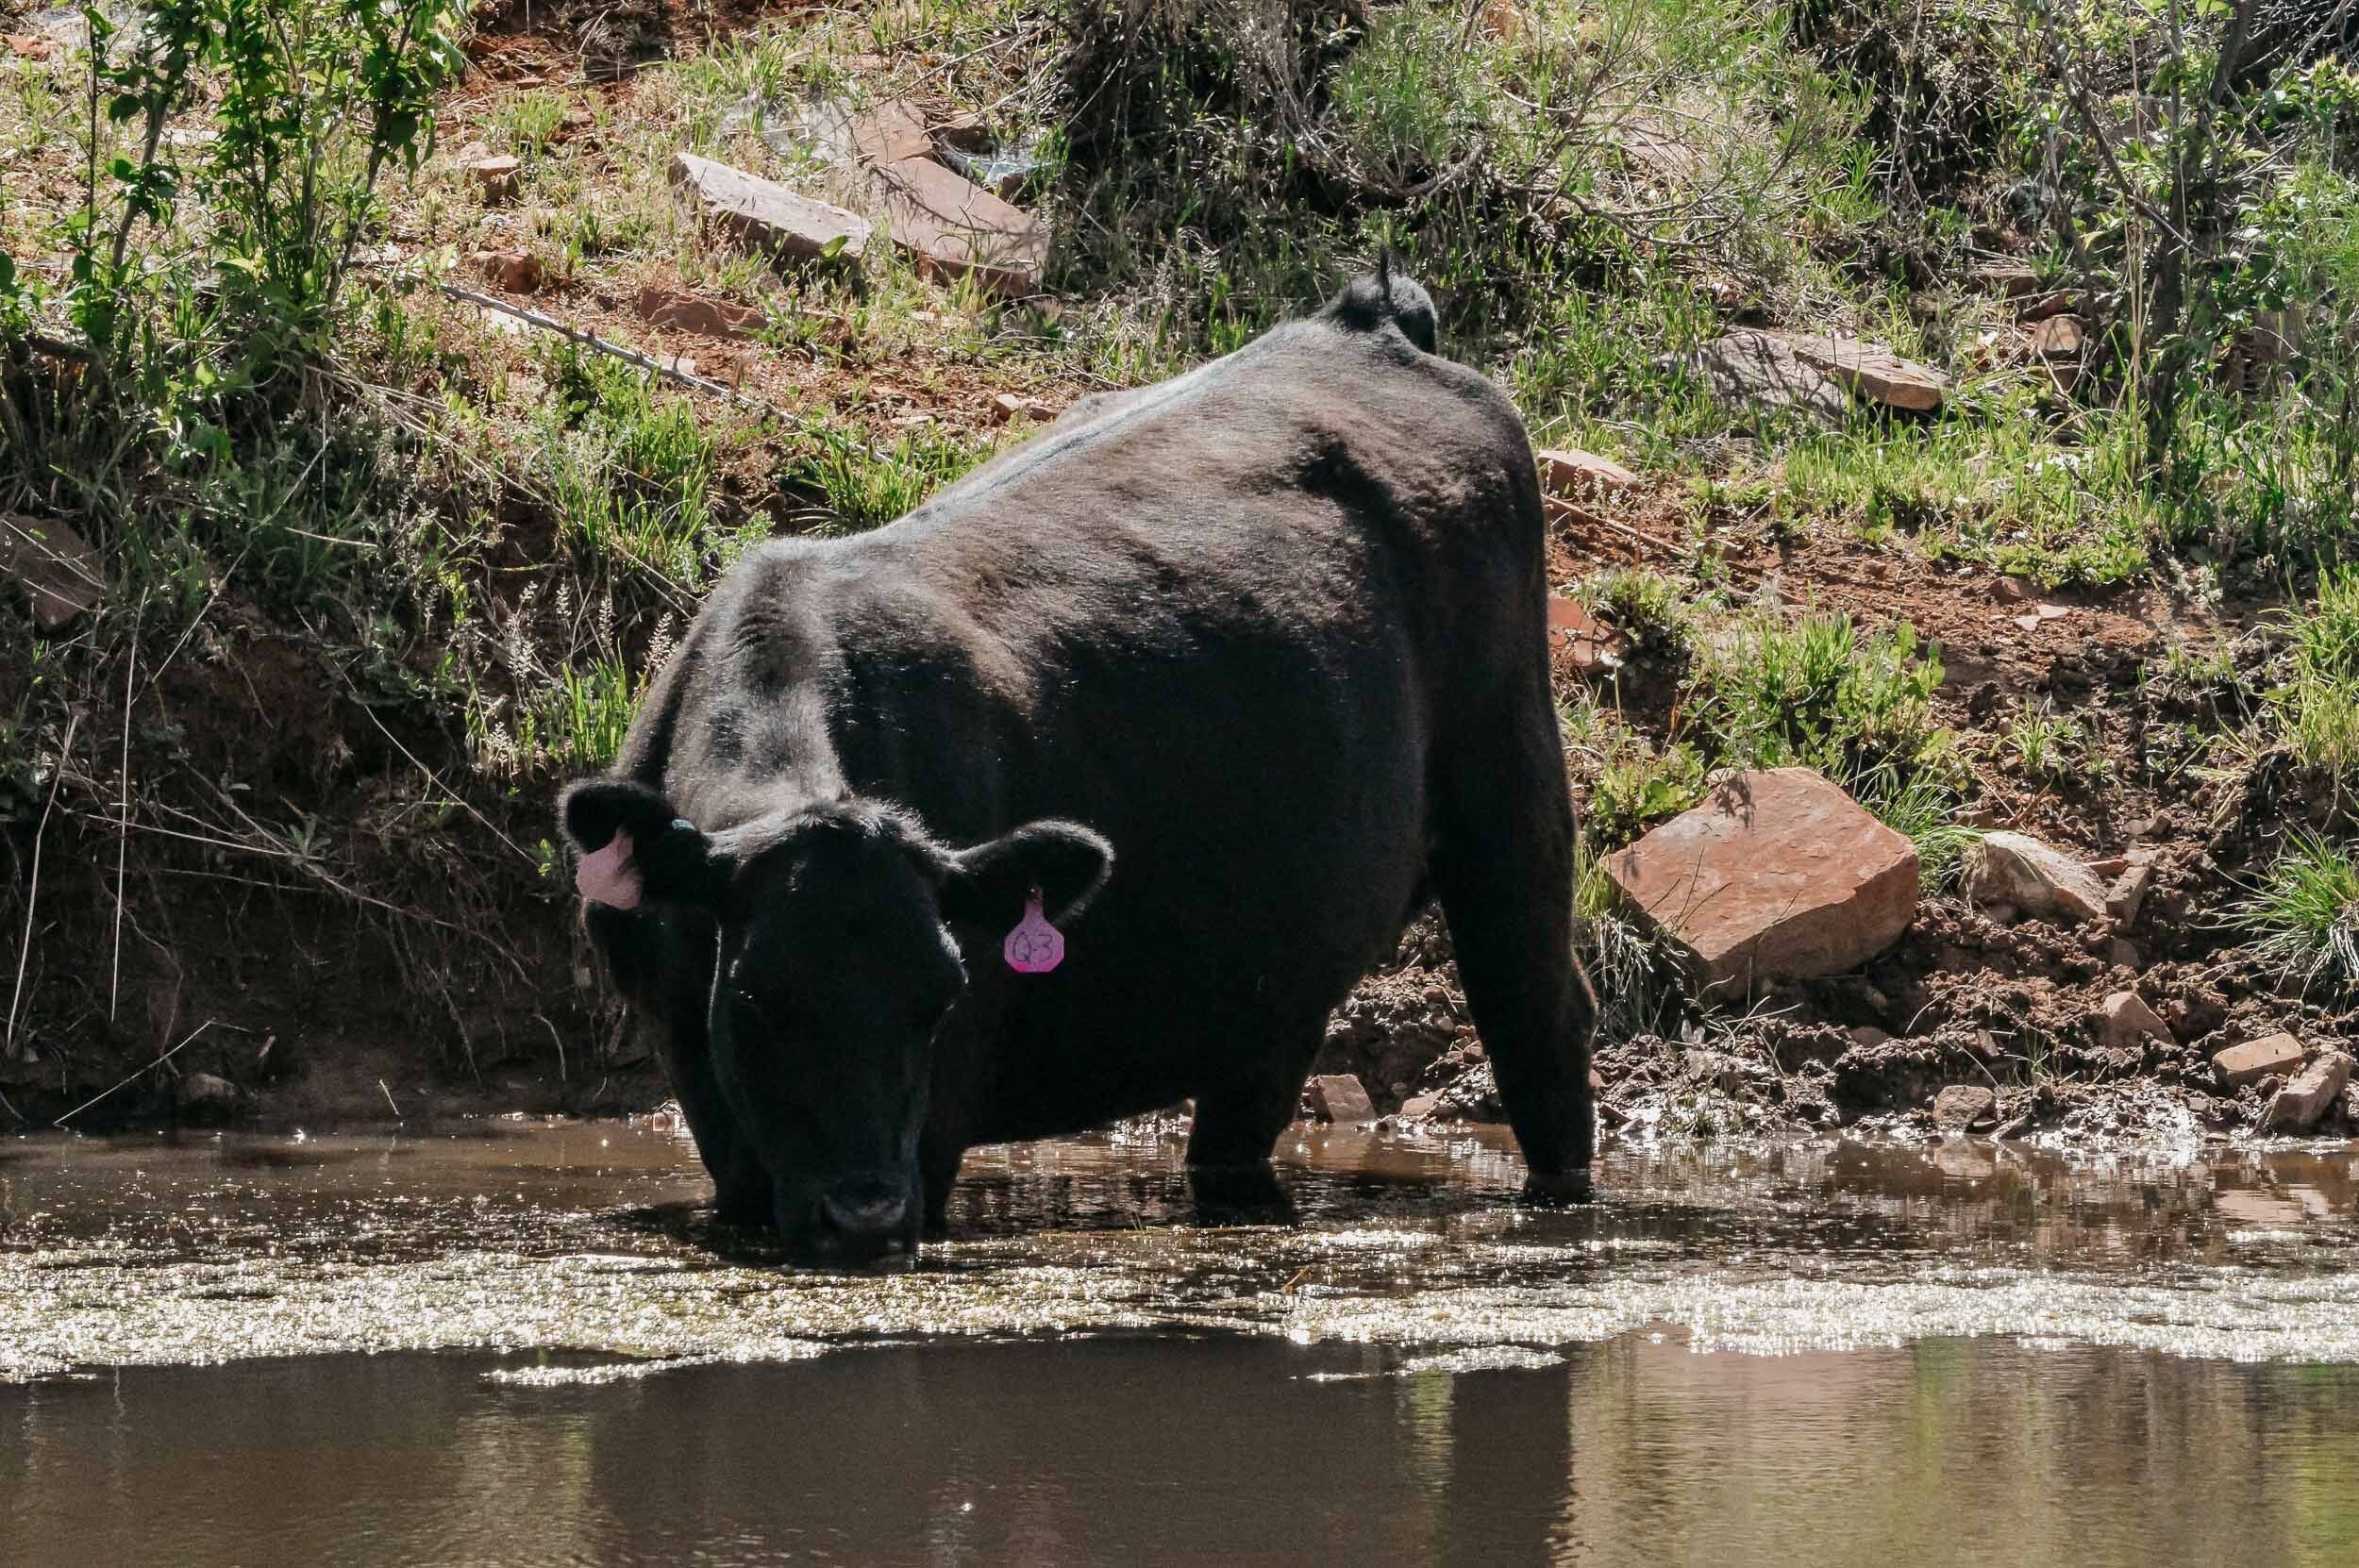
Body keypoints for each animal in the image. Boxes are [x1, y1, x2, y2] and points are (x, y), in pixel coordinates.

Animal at [563, 262, 1604, 1254]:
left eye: (942, 998)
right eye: (756, 997)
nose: (864, 1212)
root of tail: (1367, 322)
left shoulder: (938, 1120)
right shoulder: (708, 1098)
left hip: (1512, 798)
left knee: (1542, 1024)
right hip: (1284, 942)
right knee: (1252, 1092)